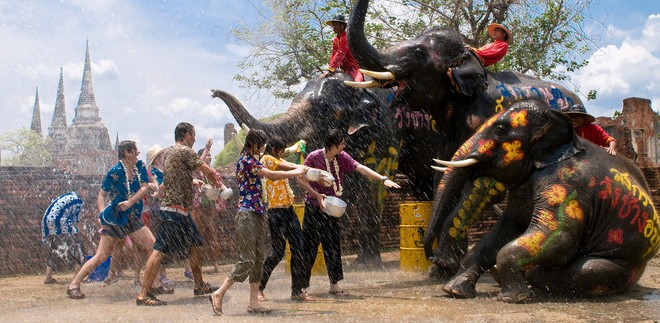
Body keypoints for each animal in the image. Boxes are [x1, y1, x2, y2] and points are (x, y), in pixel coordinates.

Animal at [209, 74, 440, 266]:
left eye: (322, 108)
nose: (212, 92)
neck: (356, 84)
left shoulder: (387, 129)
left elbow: (373, 182)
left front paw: (366, 264)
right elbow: (344, 186)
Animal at [346, 0, 584, 278]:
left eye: (418, 53)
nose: (430, 255)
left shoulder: (488, 119)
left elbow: (482, 184)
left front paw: (443, 265)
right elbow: (443, 177)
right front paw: (440, 271)